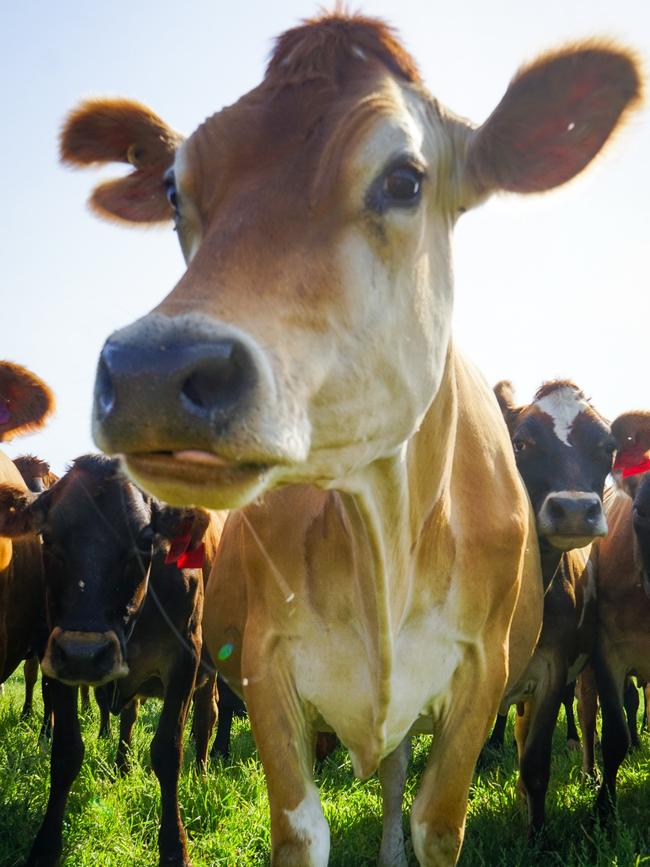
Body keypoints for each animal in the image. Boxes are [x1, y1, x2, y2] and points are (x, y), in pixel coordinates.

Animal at [0, 454, 221, 867]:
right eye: (47, 537)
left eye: (145, 542)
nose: (85, 653)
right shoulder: (56, 654)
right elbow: (66, 751)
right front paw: (46, 847)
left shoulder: (186, 658)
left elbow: (168, 751)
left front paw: (174, 847)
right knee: (129, 716)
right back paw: (122, 765)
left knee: (207, 715)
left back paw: (201, 774)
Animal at [488, 380, 612, 836]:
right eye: (521, 443)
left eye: (607, 446)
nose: (574, 510)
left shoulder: (552, 670)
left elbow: (536, 765)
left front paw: (537, 836)